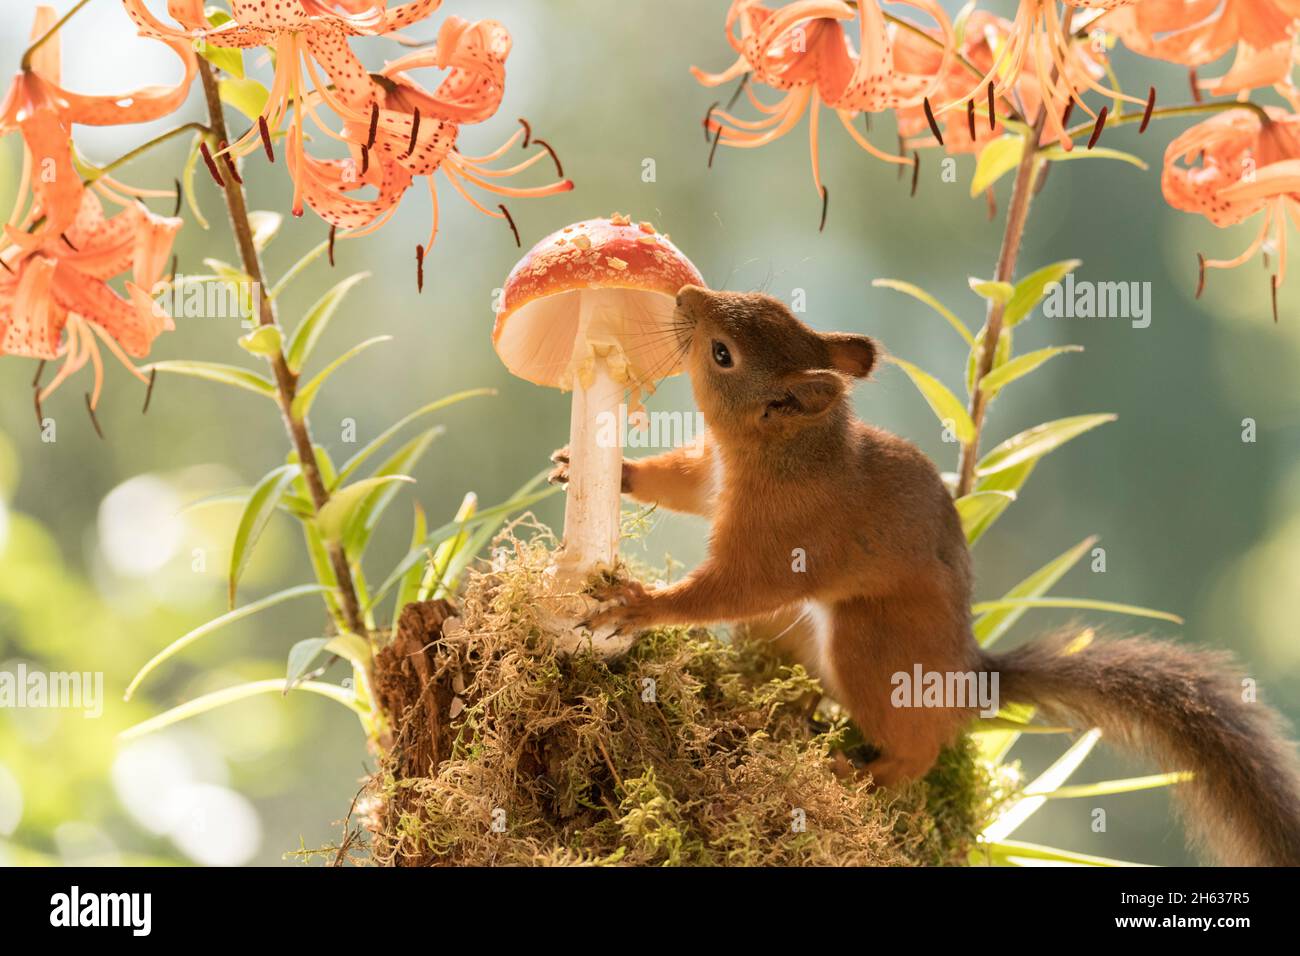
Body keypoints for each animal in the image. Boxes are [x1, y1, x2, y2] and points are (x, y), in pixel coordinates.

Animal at [549, 284, 1300, 866]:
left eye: (722, 354)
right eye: (767, 302)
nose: (686, 296)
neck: (784, 454)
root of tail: (969, 680)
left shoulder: (782, 540)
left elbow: (733, 589)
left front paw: (639, 603)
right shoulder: (712, 480)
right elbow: (678, 484)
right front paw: (609, 468)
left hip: (871, 644)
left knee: (916, 751)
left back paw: (857, 773)